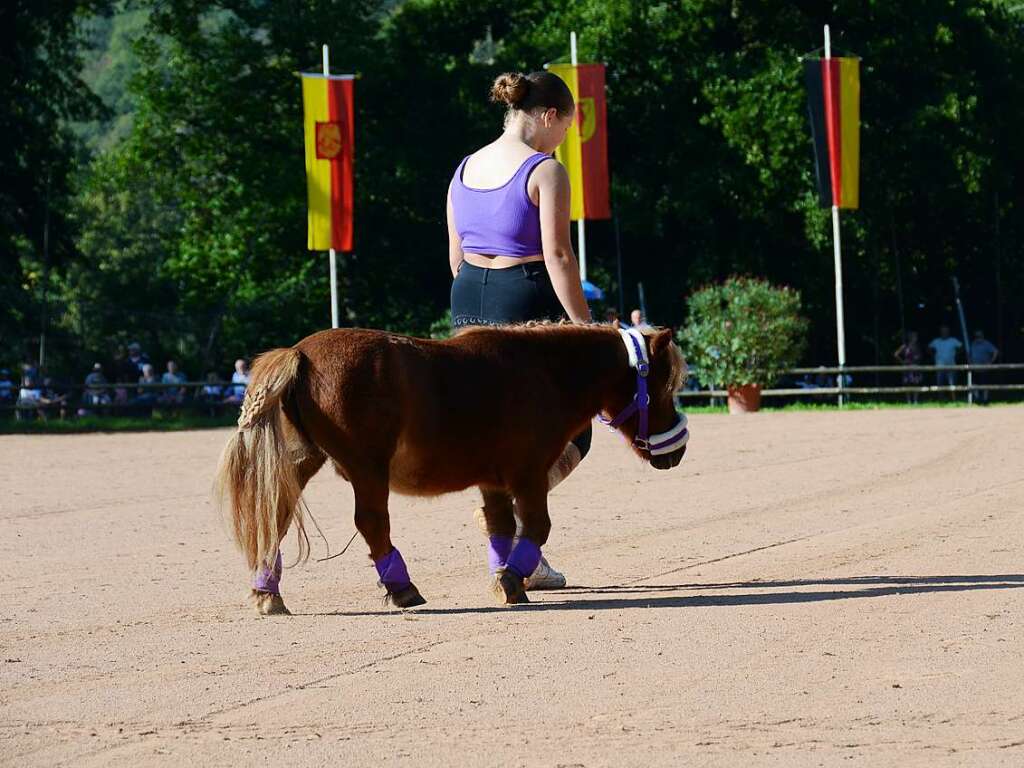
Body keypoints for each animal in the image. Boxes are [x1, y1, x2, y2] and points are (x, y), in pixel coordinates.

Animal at [220, 321, 692, 618]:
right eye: (664, 386)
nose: (678, 449)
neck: (543, 373)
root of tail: (299, 353)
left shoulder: (494, 482)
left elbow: (501, 528)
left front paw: (508, 578)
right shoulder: (528, 474)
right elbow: (537, 526)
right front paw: (511, 578)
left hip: (303, 462)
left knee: (275, 520)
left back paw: (267, 592)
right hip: (366, 469)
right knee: (371, 523)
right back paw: (401, 587)